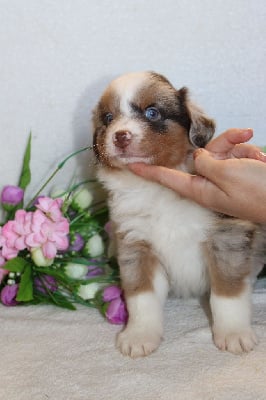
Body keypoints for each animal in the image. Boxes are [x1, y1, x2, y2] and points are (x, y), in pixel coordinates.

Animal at [92, 71, 266, 356]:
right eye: (108, 118)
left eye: (152, 113)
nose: (120, 136)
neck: (157, 189)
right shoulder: (135, 242)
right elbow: (141, 295)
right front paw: (139, 335)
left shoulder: (226, 236)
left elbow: (227, 293)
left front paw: (234, 334)